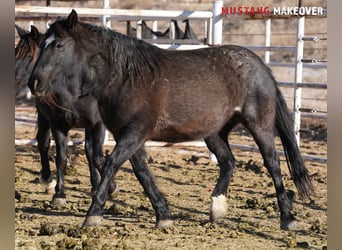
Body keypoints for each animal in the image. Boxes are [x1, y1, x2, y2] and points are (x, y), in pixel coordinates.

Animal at [15, 24, 117, 206]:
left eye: (28, 56)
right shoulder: (58, 124)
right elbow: (61, 157)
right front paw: (59, 194)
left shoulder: (97, 124)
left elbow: (96, 156)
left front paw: (110, 187)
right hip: (43, 116)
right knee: (43, 143)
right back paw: (48, 180)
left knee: (89, 151)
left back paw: (94, 185)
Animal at [28, 10, 314, 231]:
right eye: (42, 44)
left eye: (59, 45)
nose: (34, 83)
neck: (125, 77)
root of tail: (260, 65)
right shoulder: (127, 135)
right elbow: (142, 172)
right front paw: (163, 215)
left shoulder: (134, 132)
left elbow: (110, 165)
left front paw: (93, 214)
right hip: (214, 132)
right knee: (228, 162)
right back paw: (216, 209)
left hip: (259, 124)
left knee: (272, 163)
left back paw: (287, 218)